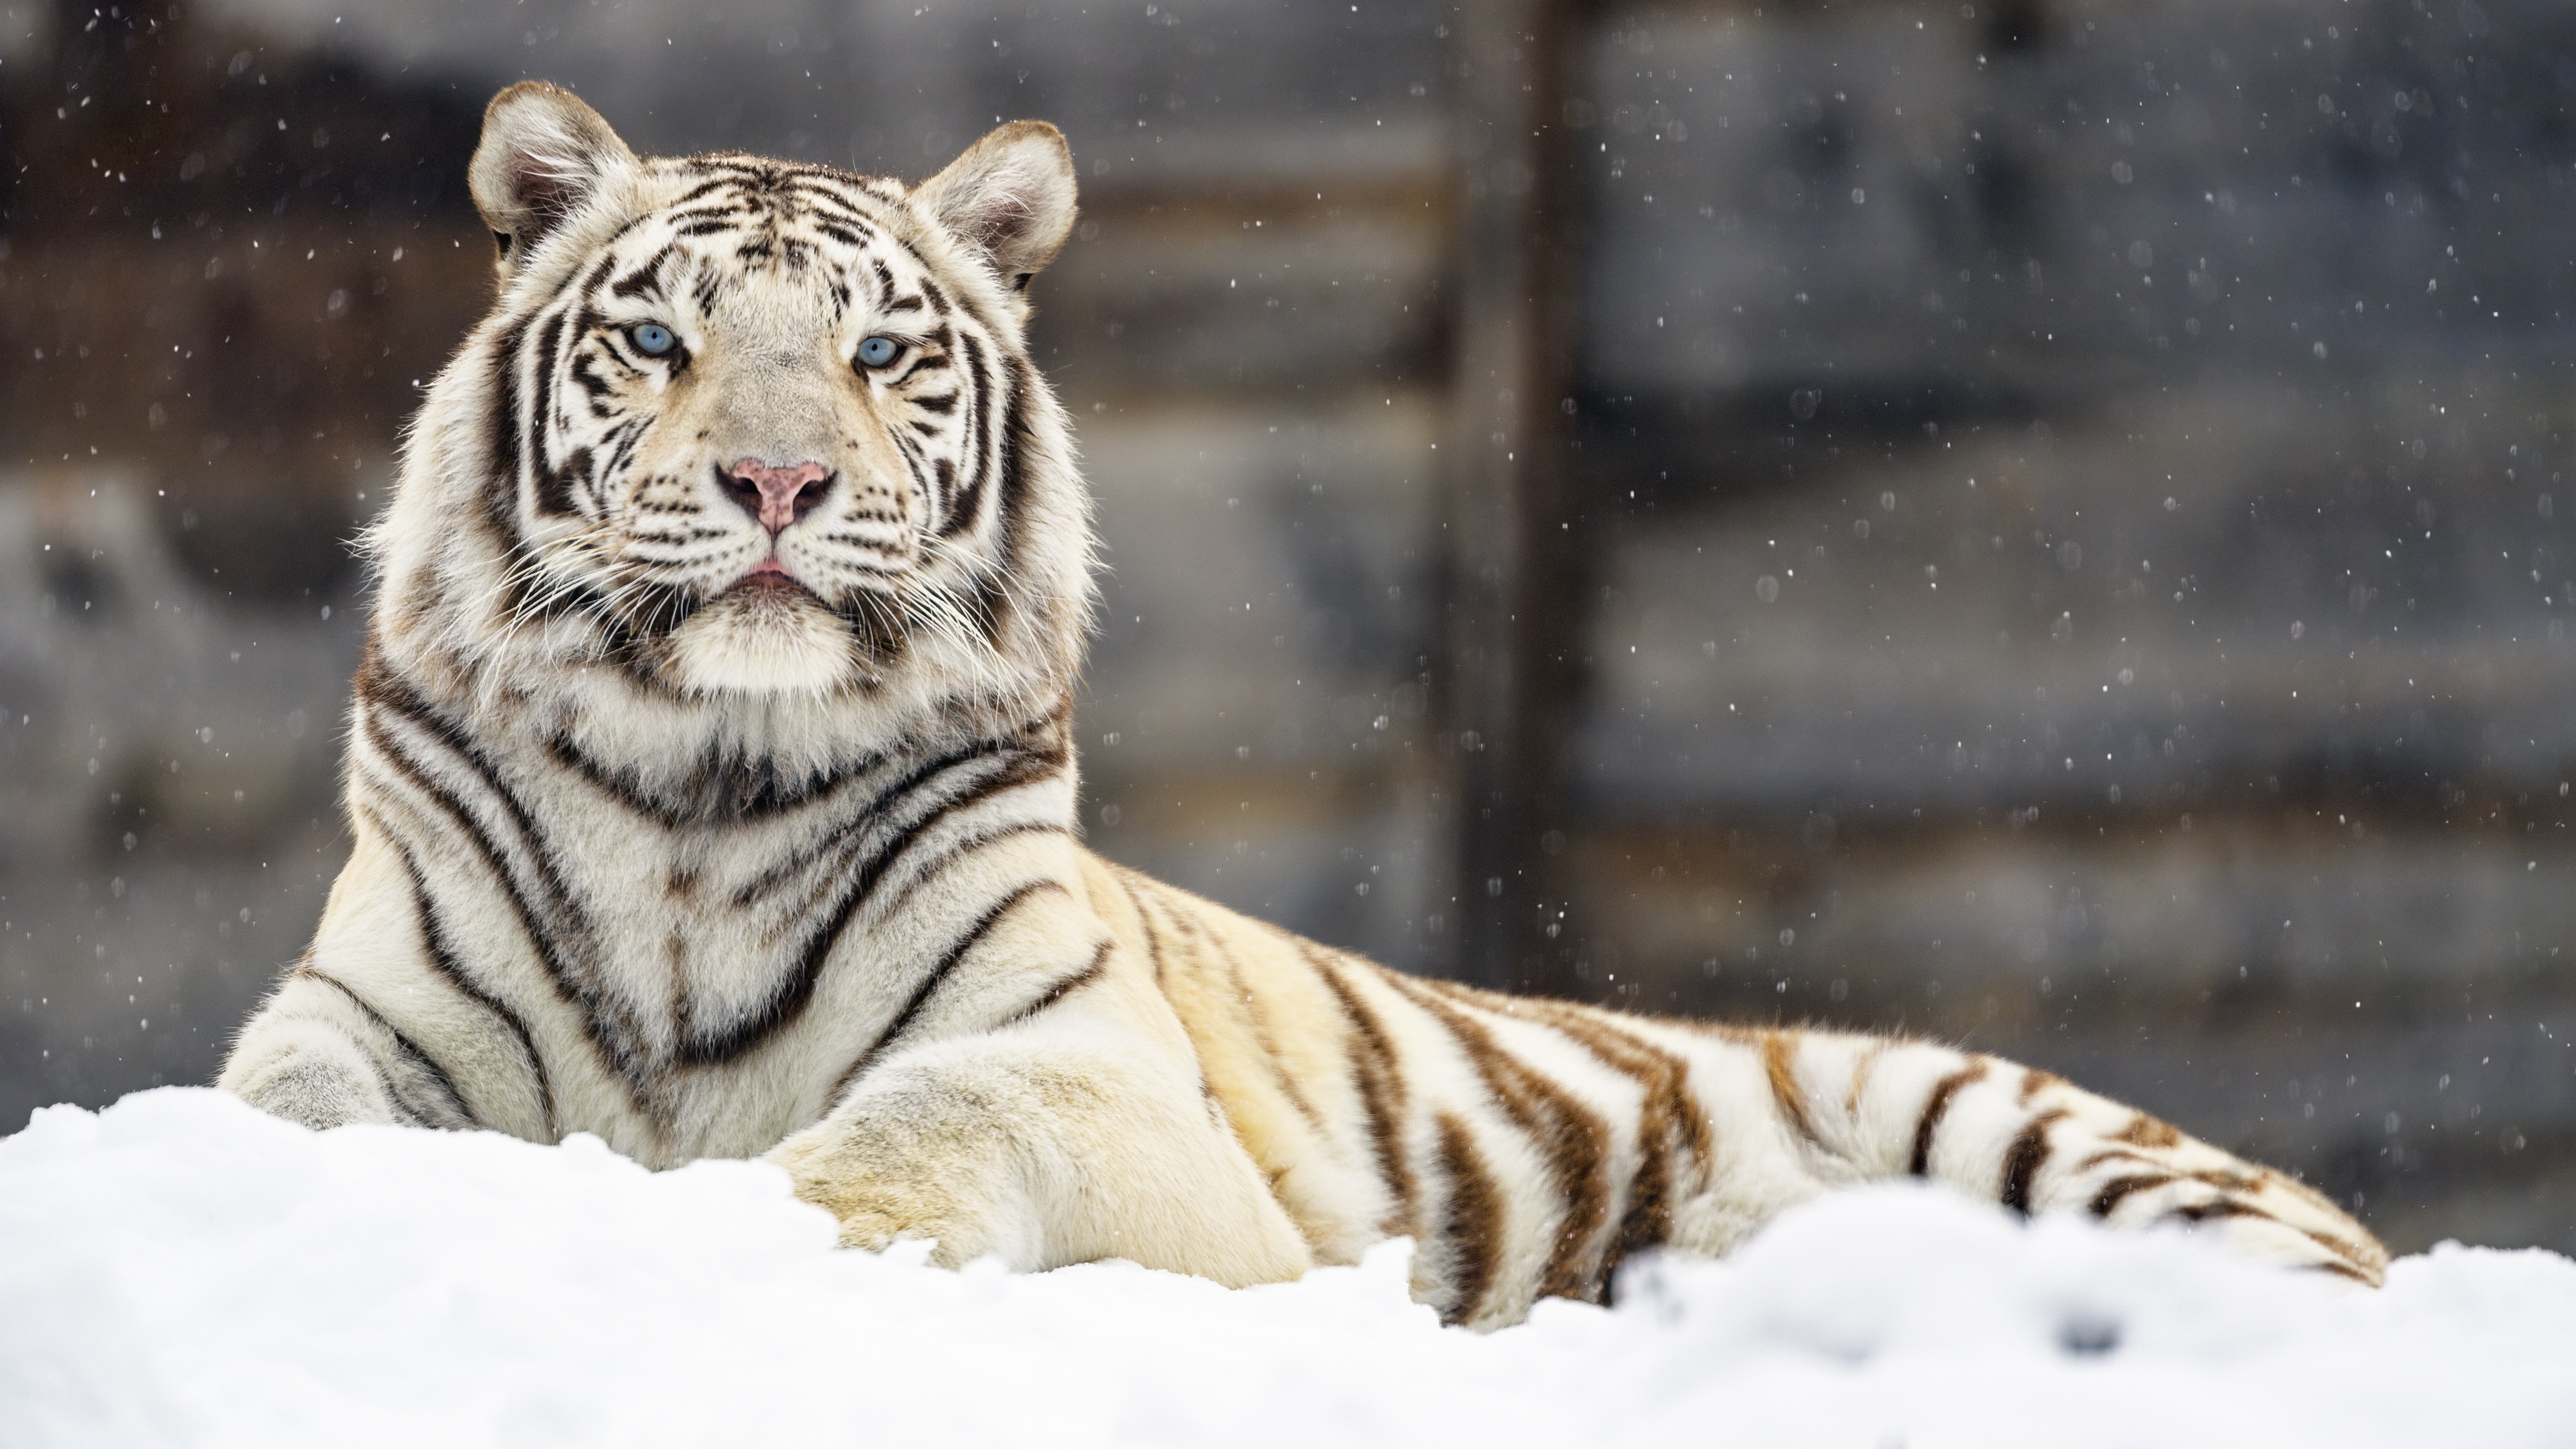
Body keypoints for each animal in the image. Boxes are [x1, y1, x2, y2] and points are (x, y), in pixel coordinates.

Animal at [216, 80, 2387, 1329]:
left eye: (884, 353)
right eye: (660, 340)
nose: (775, 482)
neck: (701, 786)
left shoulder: (1094, 1074)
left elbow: (917, 1111)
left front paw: (766, 1235)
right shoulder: (362, 1014)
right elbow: (278, 1120)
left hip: (2013, 1122)